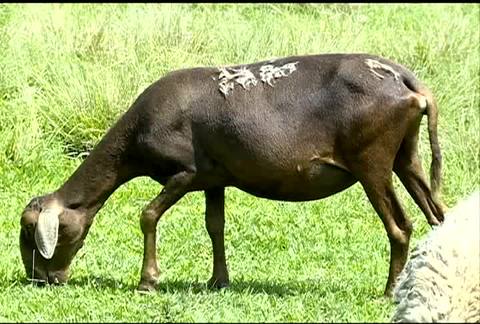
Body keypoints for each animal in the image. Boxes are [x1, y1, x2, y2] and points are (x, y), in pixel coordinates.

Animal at [19, 53, 446, 296]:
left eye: (30, 233)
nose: (41, 279)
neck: (133, 141)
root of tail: (408, 82)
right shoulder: (214, 178)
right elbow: (215, 225)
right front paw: (218, 281)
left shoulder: (184, 171)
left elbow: (148, 215)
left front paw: (147, 282)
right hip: (405, 154)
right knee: (438, 215)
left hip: (371, 158)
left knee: (401, 226)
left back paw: (388, 292)